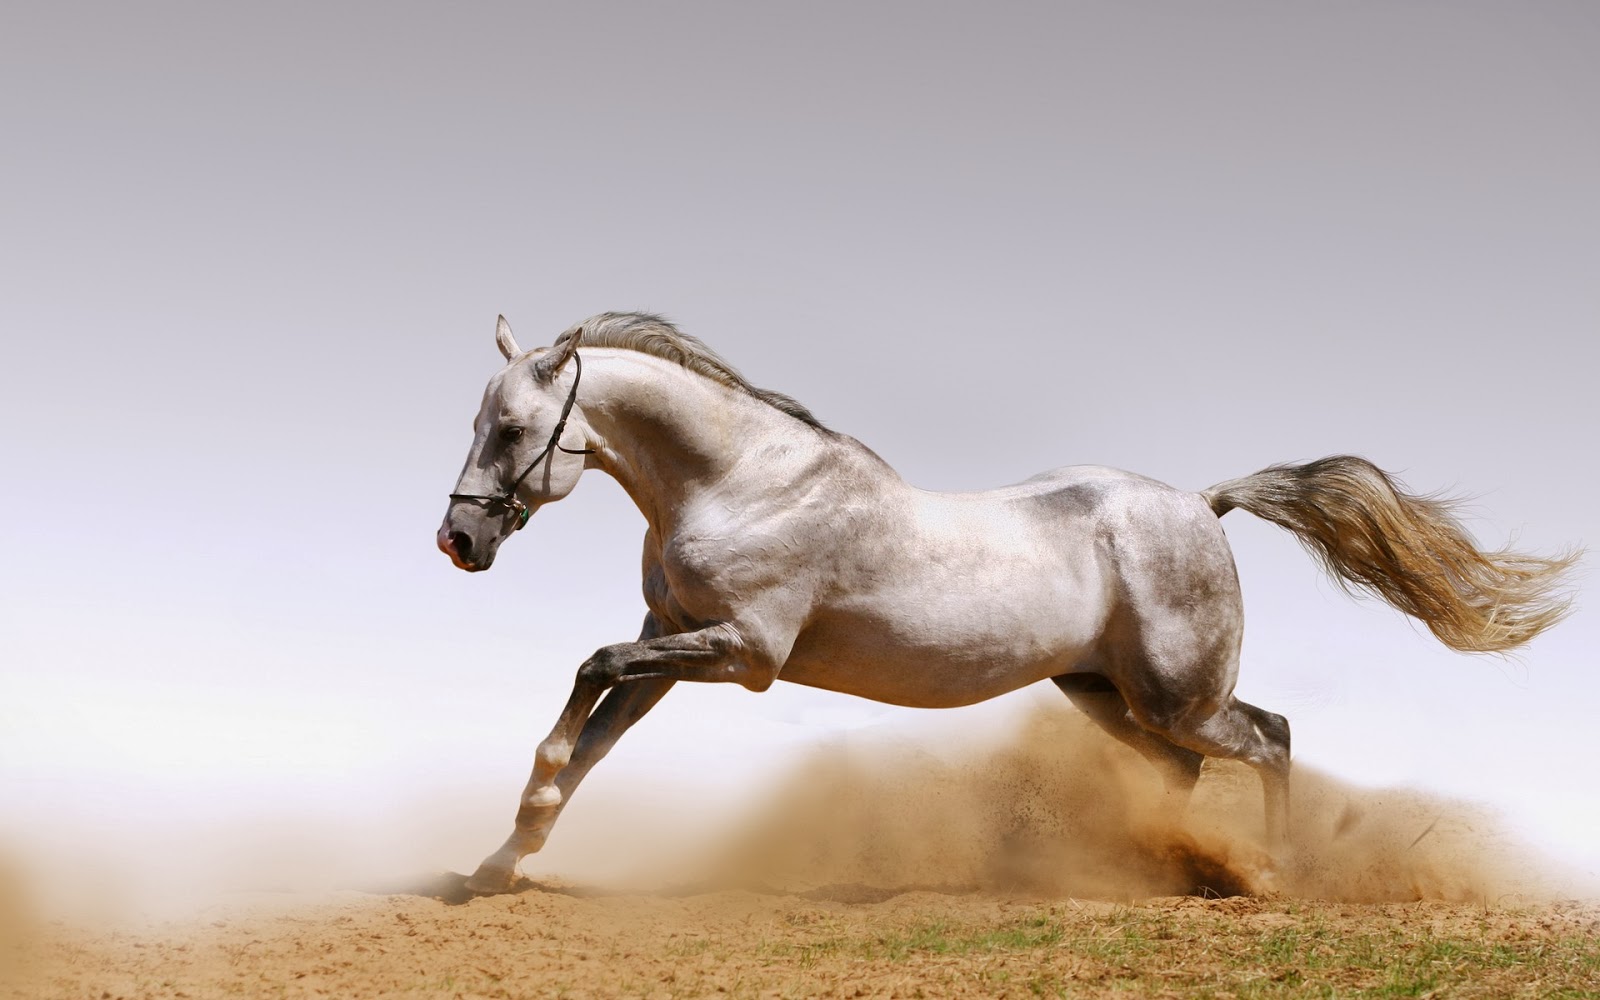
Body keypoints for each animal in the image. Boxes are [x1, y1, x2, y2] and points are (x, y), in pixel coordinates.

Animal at [438, 310, 1574, 889]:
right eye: (481, 420)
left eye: (512, 429)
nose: (458, 540)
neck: (741, 480)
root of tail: (1203, 504)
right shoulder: (672, 637)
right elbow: (592, 737)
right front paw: (501, 859)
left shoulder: (742, 653)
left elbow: (587, 674)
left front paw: (514, 831)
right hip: (1102, 692)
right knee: (1186, 770)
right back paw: (1158, 867)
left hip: (1179, 694)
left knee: (1271, 737)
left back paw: (1272, 874)